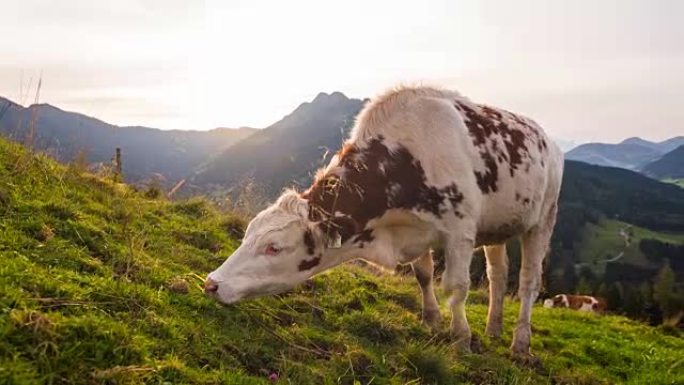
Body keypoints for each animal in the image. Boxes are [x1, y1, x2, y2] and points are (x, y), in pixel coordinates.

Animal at [204, 85, 568, 356]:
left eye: (274, 248)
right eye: (247, 234)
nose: (211, 283)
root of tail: (547, 138)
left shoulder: (460, 232)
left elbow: (456, 286)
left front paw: (461, 338)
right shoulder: (419, 231)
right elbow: (424, 276)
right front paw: (432, 320)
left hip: (543, 219)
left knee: (527, 282)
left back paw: (520, 343)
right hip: (498, 226)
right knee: (497, 275)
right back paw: (493, 328)